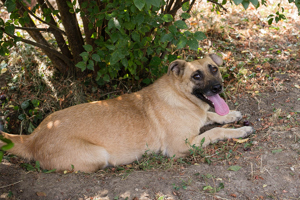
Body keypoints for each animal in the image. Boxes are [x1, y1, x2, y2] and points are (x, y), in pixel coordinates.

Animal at [0, 54, 253, 173]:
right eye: (197, 76)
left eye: (214, 69)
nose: (218, 88)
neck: (181, 97)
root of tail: (33, 138)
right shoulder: (181, 146)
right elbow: (215, 131)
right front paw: (239, 130)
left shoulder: (200, 117)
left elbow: (212, 116)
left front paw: (231, 115)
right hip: (98, 155)